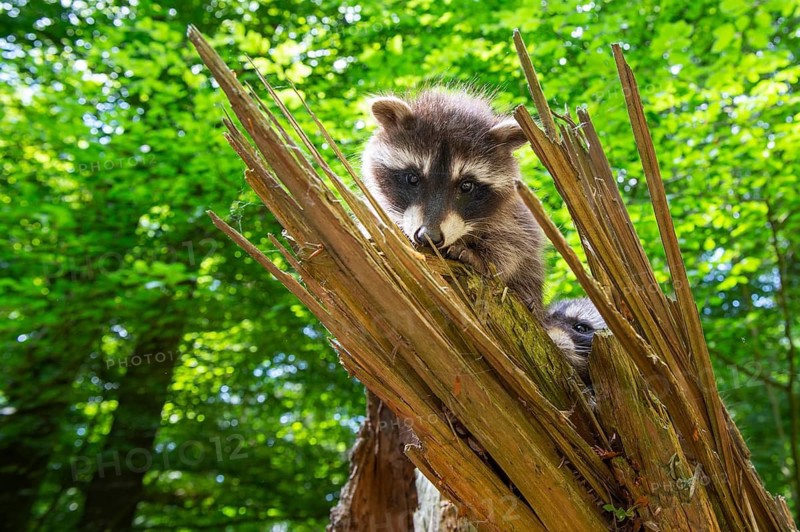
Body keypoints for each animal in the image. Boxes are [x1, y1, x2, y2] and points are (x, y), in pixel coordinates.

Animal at [362, 88, 546, 314]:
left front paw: (482, 257)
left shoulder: (516, 215)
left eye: (466, 186)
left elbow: (516, 242)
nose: (428, 236)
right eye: (412, 178)